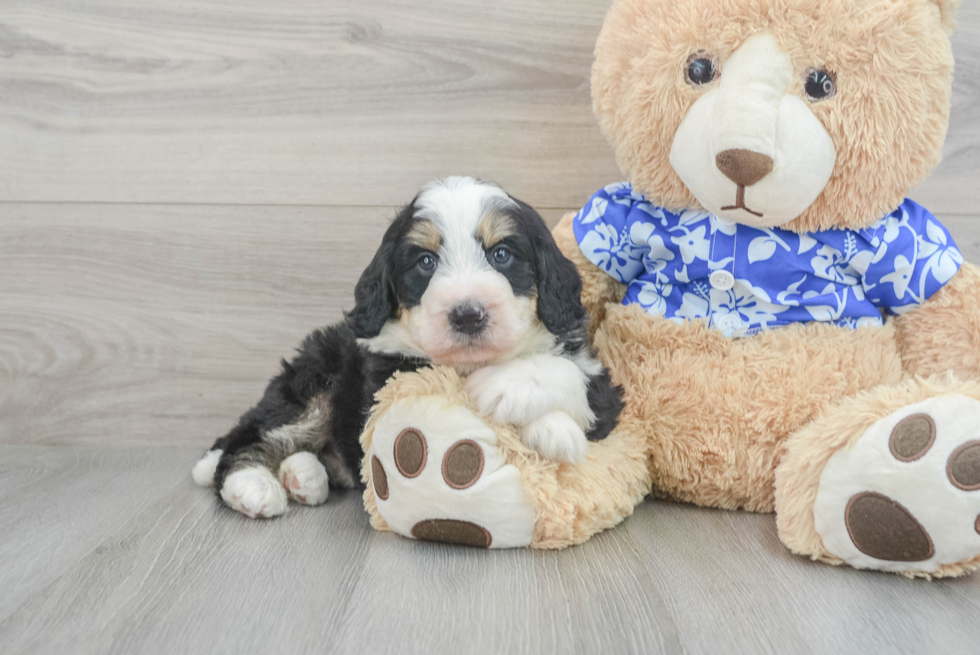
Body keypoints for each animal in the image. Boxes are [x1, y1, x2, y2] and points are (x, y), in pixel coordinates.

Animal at [191, 177, 620, 520]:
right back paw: (252, 485)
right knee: (252, 436)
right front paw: (526, 410)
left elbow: (568, 373)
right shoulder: (390, 379)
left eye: (501, 254)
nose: (467, 315)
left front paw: (542, 419)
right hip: (316, 381)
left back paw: (303, 476)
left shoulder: (603, 388)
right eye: (425, 262)